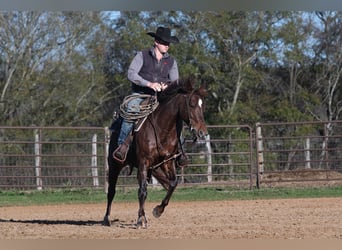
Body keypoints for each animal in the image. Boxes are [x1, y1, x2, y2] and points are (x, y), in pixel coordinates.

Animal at [103, 77, 207, 228]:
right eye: (192, 104)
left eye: (202, 105)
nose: (203, 132)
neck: (161, 128)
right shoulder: (143, 162)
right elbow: (142, 192)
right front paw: (141, 220)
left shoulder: (168, 161)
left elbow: (173, 183)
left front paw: (157, 210)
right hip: (115, 165)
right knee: (111, 191)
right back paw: (107, 218)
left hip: (154, 168)